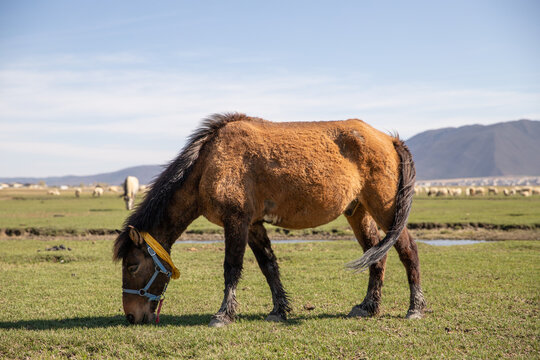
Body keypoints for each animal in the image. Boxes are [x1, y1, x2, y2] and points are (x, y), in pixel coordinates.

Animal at [113, 114, 426, 328]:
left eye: (132, 265)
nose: (130, 316)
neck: (208, 163)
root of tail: (390, 139)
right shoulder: (253, 225)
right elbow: (268, 266)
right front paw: (279, 310)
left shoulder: (236, 221)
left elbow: (231, 268)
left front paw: (223, 315)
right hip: (358, 211)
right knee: (376, 255)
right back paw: (368, 306)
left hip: (385, 208)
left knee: (407, 249)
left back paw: (415, 309)